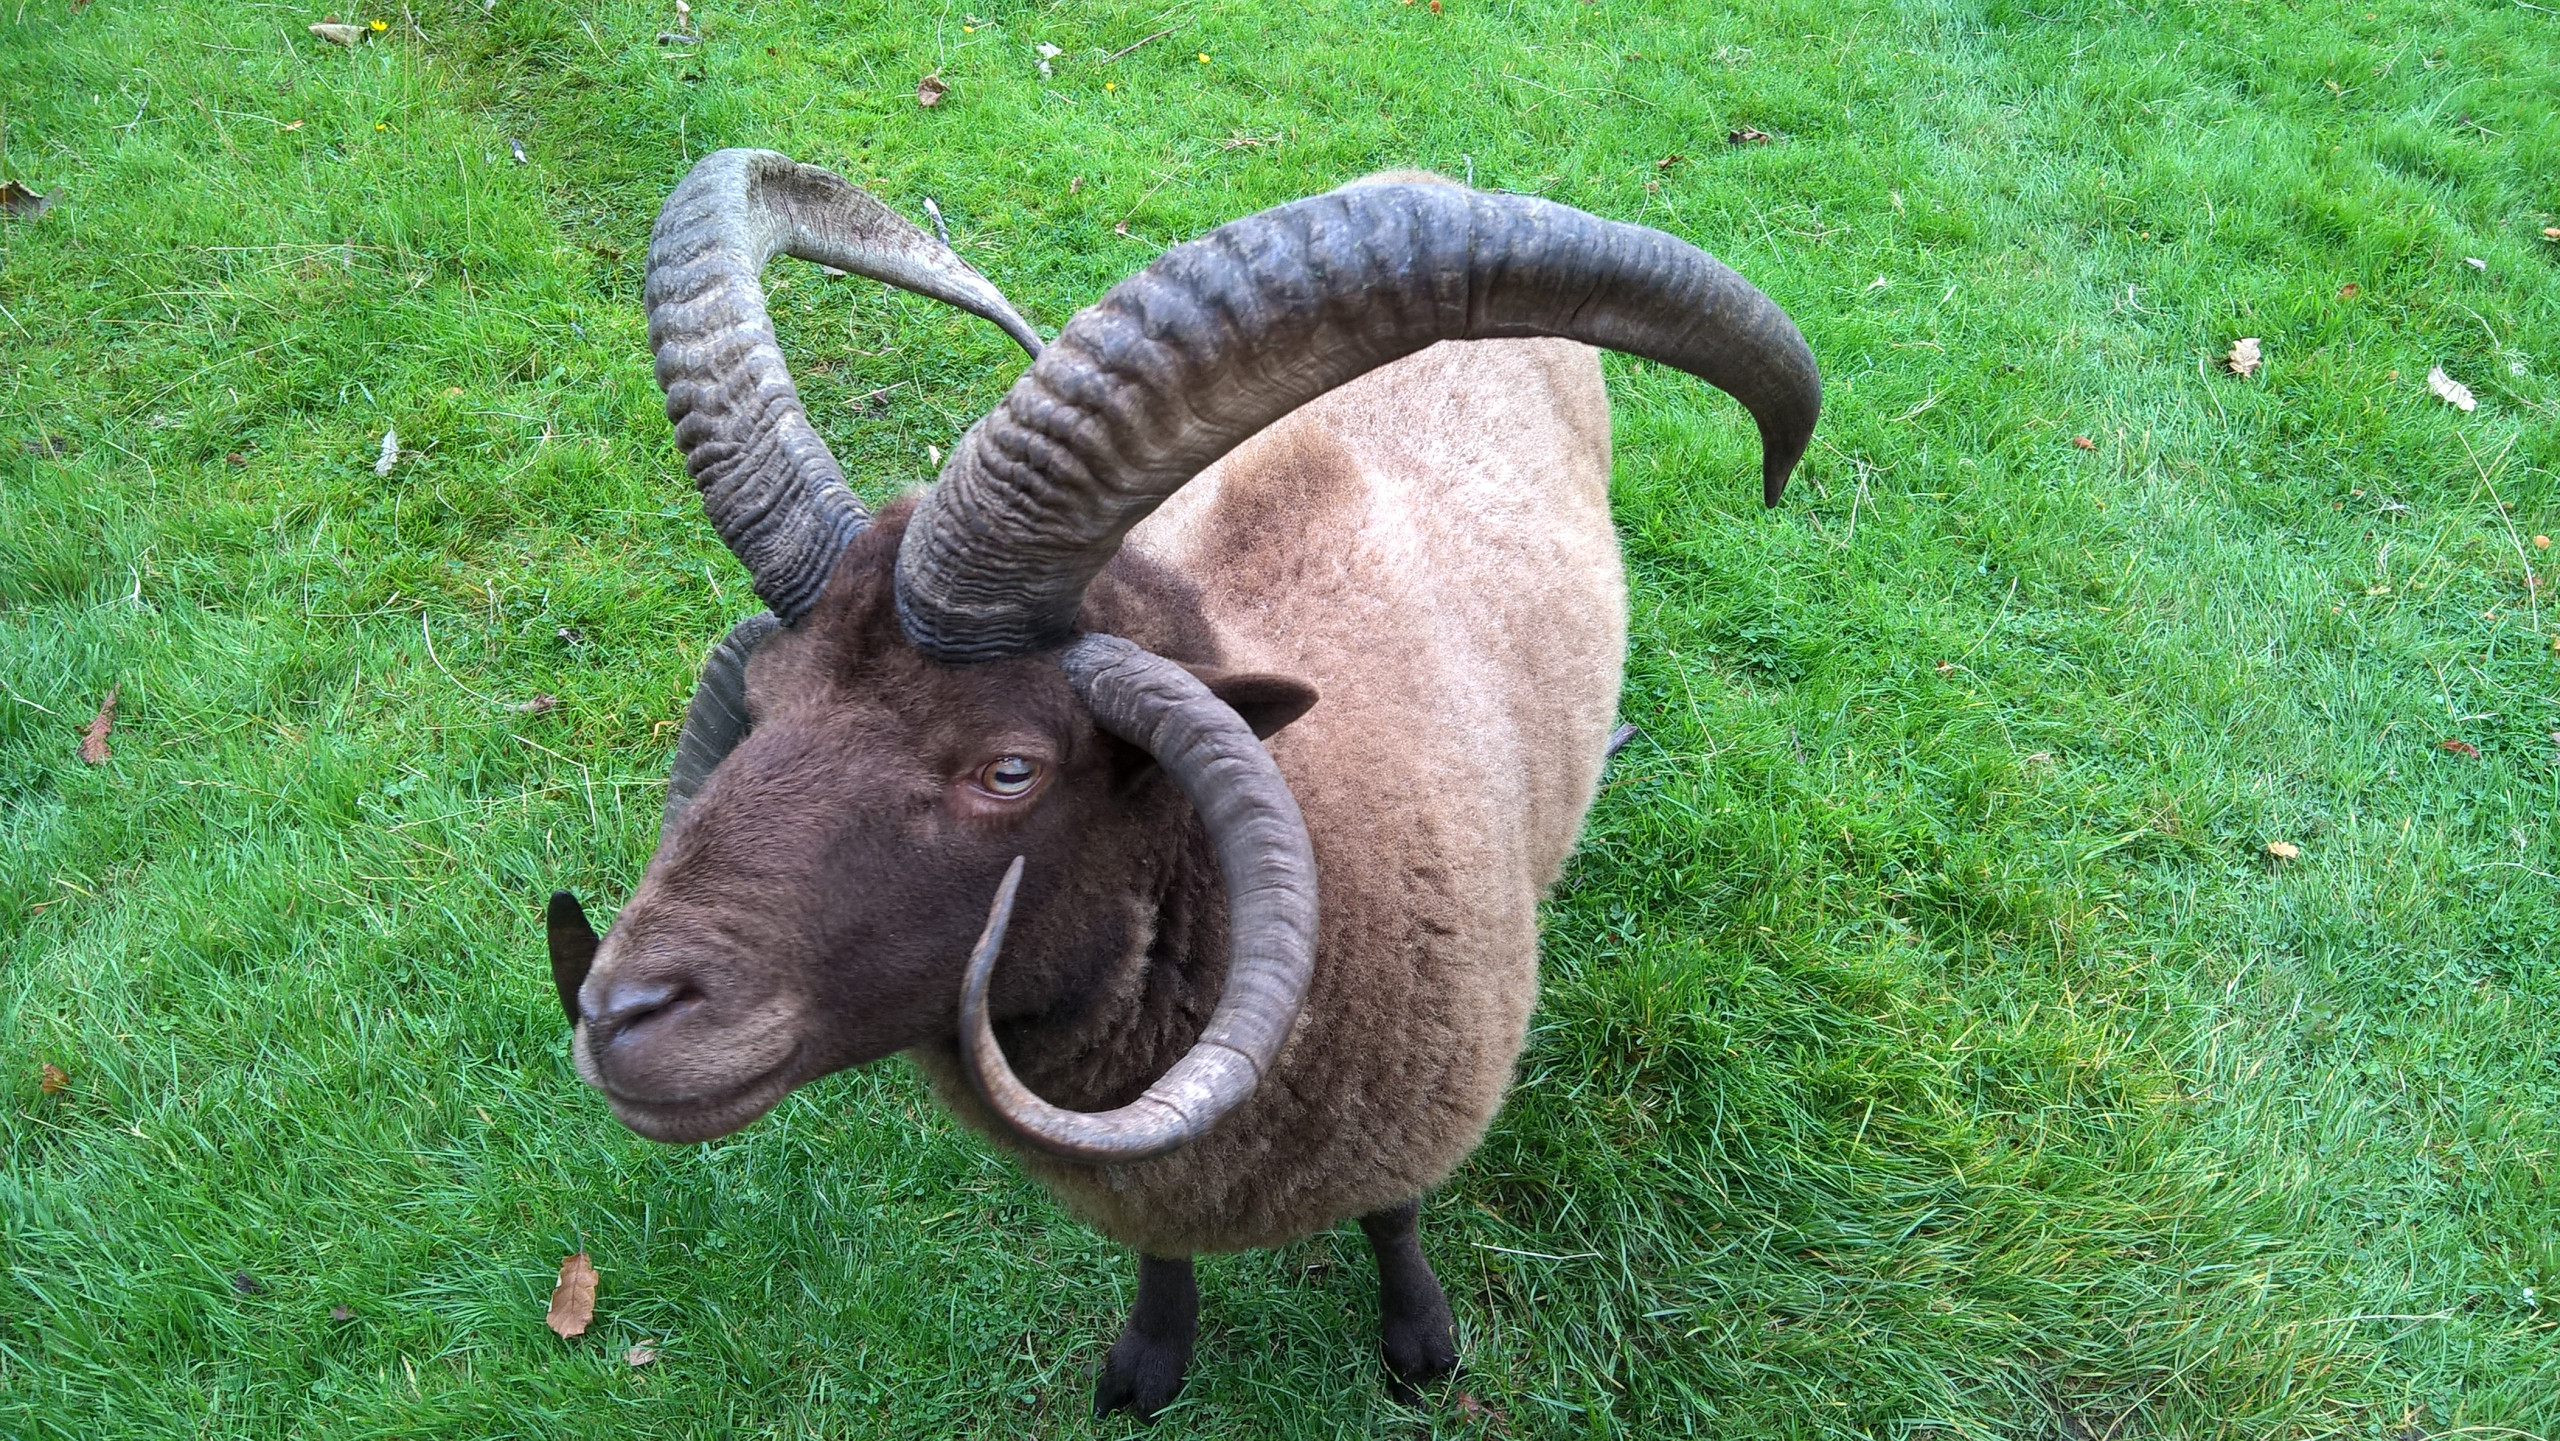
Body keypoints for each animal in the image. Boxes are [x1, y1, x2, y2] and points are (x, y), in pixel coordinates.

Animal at [545, 148, 1819, 1419]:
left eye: (1009, 767)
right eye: (763, 705)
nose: (619, 1016)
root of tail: (1426, 166)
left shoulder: (1409, 1117)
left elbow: (1394, 1219)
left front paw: (1419, 1345)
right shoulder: (1154, 1188)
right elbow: (1161, 1258)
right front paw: (1147, 1365)